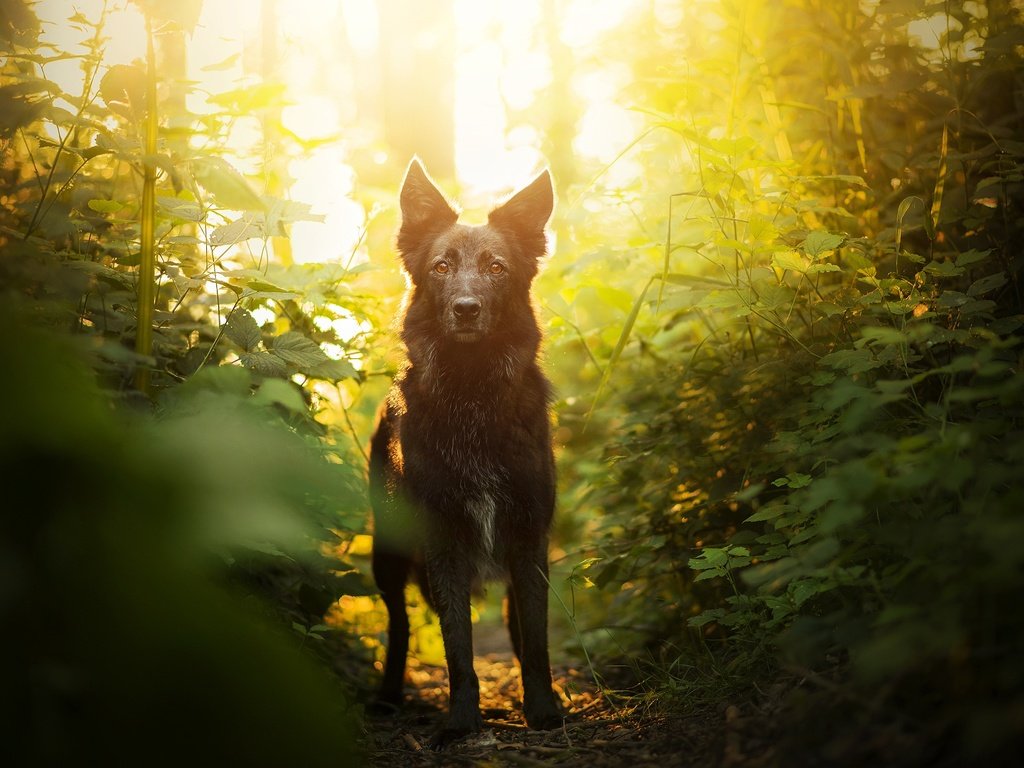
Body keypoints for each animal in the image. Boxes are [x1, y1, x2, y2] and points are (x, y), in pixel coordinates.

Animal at [368, 159, 561, 749]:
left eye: (497, 268)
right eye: (441, 266)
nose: (467, 309)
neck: (472, 394)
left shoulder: (529, 538)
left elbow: (537, 638)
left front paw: (543, 710)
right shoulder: (444, 542)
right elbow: (457, 647)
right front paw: (460, 722)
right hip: (386, 555)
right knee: (400, 626)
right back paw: (387, 696)